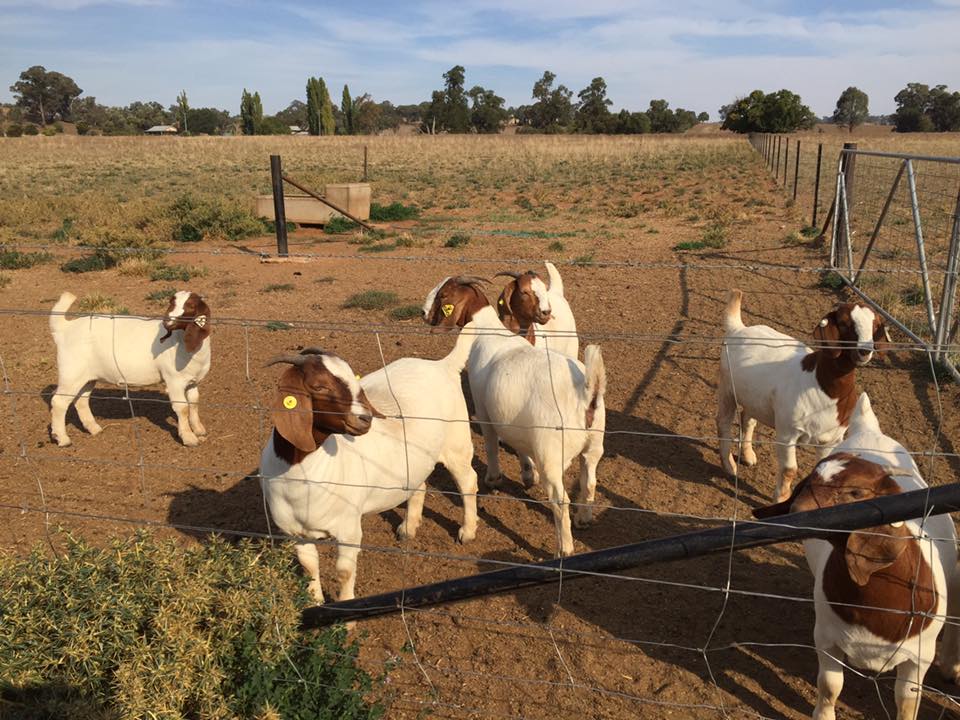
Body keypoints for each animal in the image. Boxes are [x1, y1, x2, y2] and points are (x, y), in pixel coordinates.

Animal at [49, 290, 211, 447]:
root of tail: (64, 328)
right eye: (171, 303)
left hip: (87, 376)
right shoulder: (174, 380)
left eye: (191, 306)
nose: (167, 322)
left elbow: (194, 402)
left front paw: (199, 429)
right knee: (59, 402)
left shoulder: (192, 381)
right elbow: (182, 408)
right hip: (71, 372)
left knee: (81, 400)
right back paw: (62, 439)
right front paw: (189, 438)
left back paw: (94, 428)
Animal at [259, 341, 479, 604]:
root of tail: (443, 365)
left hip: (457, 443)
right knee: (420, 485)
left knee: (468, 482)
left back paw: (467, 532)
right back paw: (408, 528)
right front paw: (315, 603)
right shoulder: (294, 532)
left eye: (354, 381)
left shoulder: (348, 528)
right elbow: (309, 566)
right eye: (319, 386)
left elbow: (344, 571)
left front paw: (345, 610)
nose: (365, 418)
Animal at [422, 275, 605, 556]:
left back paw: (564, 548)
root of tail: (585, 393)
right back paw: (583, 519)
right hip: (594, 445)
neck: (487, 332)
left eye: (443, 296)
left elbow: (491, 445)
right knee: (590, 482)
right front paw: (528, 474)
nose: (423, 313)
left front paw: (493, 478)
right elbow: (520, 447)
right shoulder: (514, 420)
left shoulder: (484, 412)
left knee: (560, 499)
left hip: (552, 454)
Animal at [717, 289, 889, 502]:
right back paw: (729, 466)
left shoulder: (831, 439)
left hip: (755, 398)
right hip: (727, 388)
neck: (822, 384)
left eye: (875, 326)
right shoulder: (787, 433)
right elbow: (789, 470)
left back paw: (748, 456)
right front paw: (781, 499)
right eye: (844, 323)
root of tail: (739, 329)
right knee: (723, 422)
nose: (864, 351)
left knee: (747, 418)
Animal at [754, 393, 960, 720]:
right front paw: (823, 716)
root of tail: (869, 429)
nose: (796, 513)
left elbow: (907, 701)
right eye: (809, 482)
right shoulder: (827, 637)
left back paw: (951, 666)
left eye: (855, 492)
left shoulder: (919, 655)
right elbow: (830, 686)